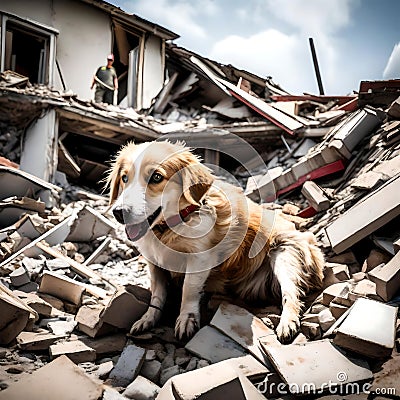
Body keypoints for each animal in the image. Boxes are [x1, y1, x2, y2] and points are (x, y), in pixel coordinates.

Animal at [106, 140, 324, 340]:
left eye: (157, 177)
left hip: (285, 255)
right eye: (124, 178)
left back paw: (288, 322)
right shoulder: (155, 263)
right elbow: (157, 295)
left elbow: (188, 290)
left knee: (292, 294)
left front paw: (186, 318)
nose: (118, 212)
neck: (170, 227)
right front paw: (148, 319)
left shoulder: (199, 259)